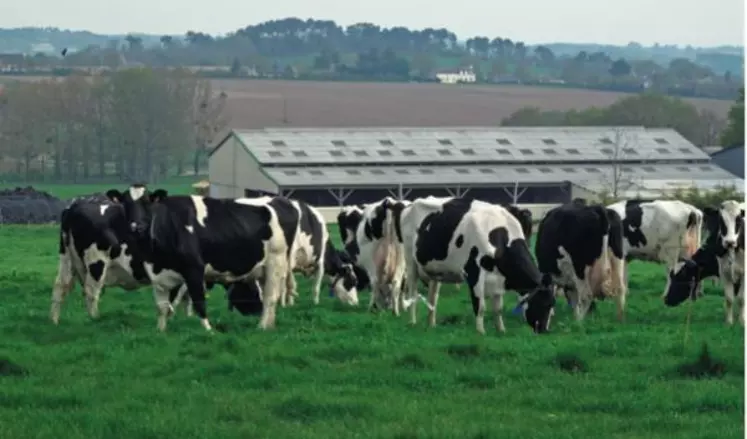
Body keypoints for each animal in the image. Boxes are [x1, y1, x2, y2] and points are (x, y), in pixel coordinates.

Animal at [50, 191, 190, 324]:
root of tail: (75, 206)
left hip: (67, 259)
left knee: (60, 286)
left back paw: (55, 321)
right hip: (96, 262)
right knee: (91, 292)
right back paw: (95, 320)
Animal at [108, 184, 296, 332]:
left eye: (147, 202)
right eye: (125, 204)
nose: (136, 227)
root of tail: (281, 200)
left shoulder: (194, 269)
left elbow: (198, 300)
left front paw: (208, 330)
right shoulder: (158, 275)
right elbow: (163, 306)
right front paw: (160, 331)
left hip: (276, 262)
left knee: (270, 297)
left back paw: (262, 326)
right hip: (265, 268)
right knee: (270, 296)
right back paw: (269, 324)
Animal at [380, 198, 556, 336]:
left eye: (553, 304)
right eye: (545, 303)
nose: (544, 330)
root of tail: (408, 205)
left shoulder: (498, 279)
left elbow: (498, 308)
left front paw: (501, 330)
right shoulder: (475, 272)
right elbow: (480, 306)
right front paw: (480, 332)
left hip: (435, 270)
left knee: (433, 296)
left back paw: (431, 324)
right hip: (410, 262)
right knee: (412, 291)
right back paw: (412, 321)